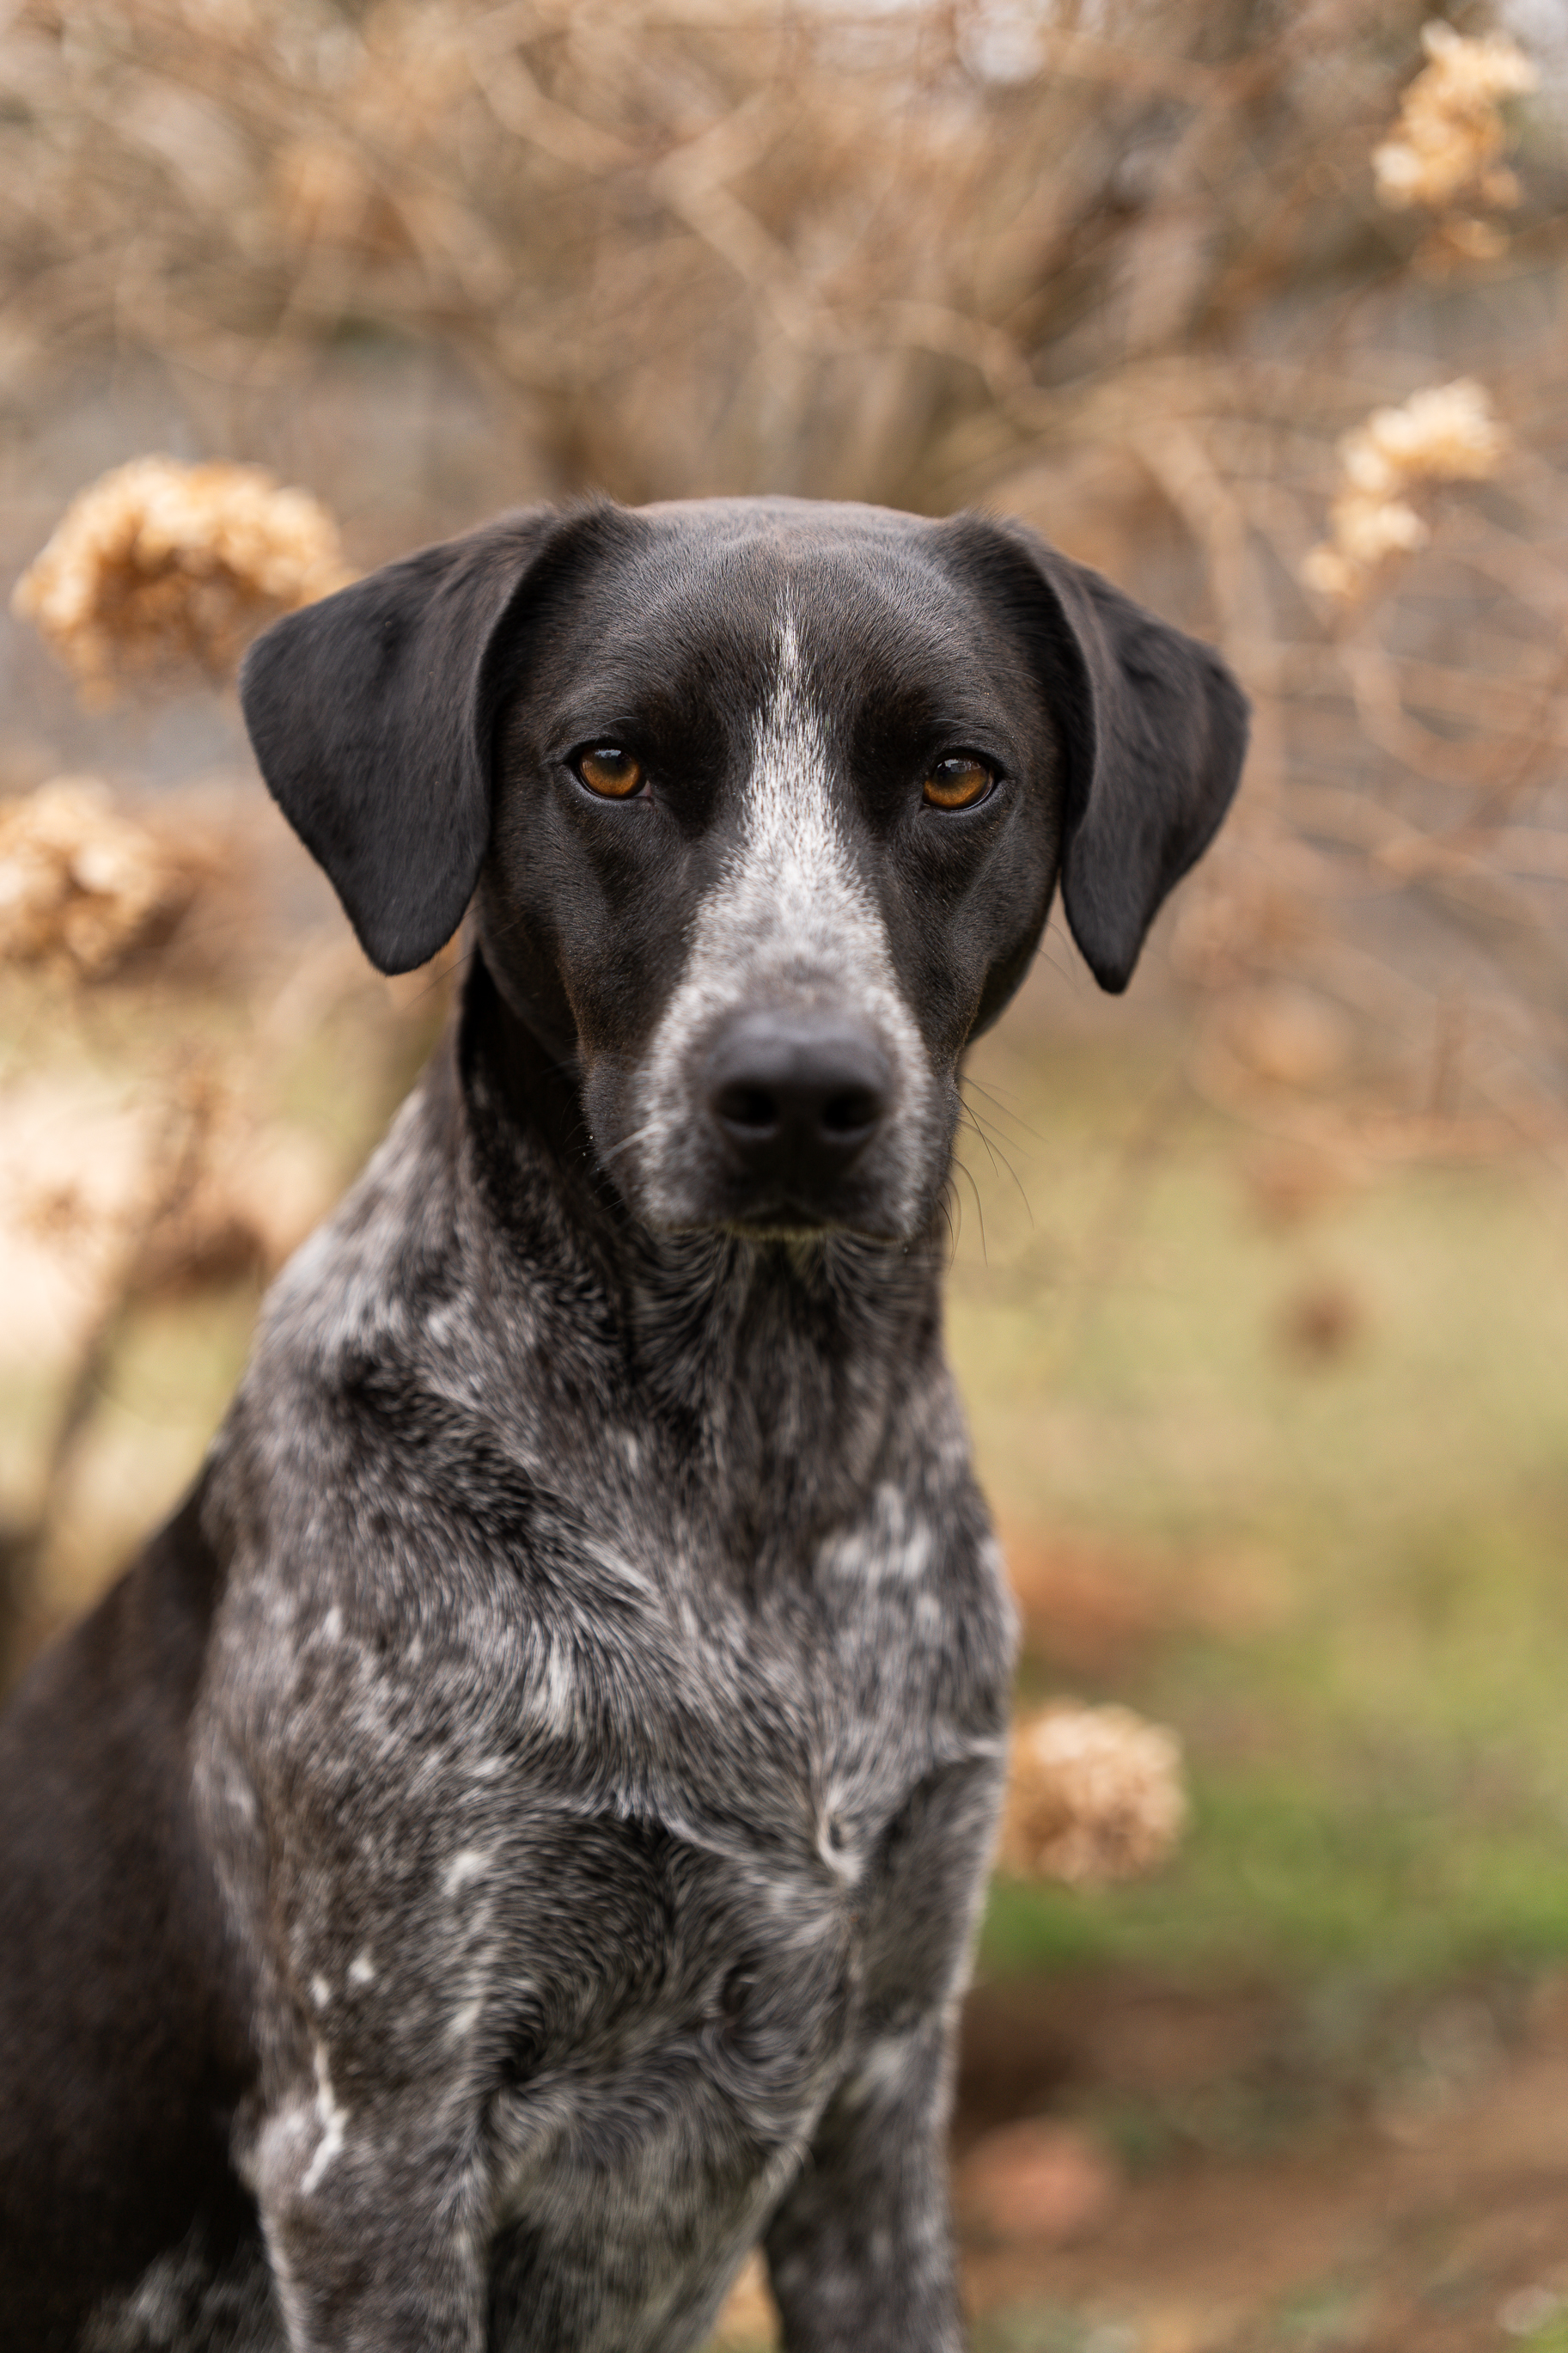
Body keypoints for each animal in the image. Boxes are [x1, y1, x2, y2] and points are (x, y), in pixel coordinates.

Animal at [0, 495, 1246, 2351]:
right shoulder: (374, 2148)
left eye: (958, 775)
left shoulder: (881, 2094)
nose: (797, 1093)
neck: (754, 1475)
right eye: (611, 764)